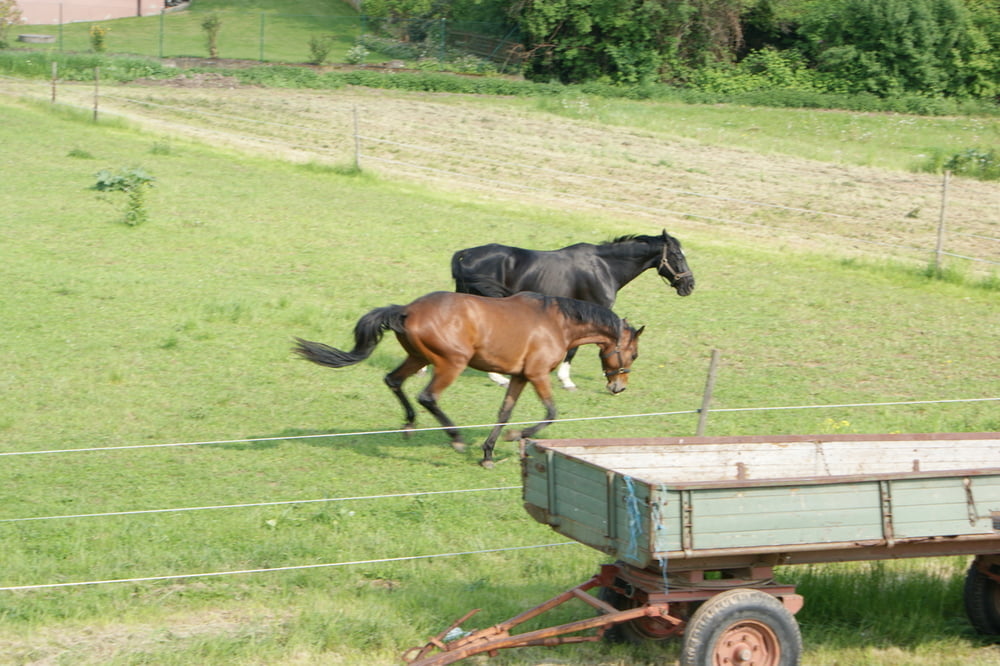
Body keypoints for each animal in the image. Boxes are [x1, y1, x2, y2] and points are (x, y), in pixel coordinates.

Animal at [292, 288, 644, 464]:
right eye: (634, 354)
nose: (619, 386)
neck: (558, 322)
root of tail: (407, 309)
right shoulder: (537, 375)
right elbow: (550, 413)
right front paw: (516, 437)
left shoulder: (519, 377)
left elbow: (504, 412)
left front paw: (488, 454)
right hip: (452, 363)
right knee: (428, 396)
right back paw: (456, 438)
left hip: (417, 357)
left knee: (393, 381)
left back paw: (409, 424)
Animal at [452, 231, 692, 390]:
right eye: (678, 256)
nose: (689, 285)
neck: (605, 268)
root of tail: (466, 253)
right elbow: (574, 348)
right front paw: (566, 380)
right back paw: (497, 377)